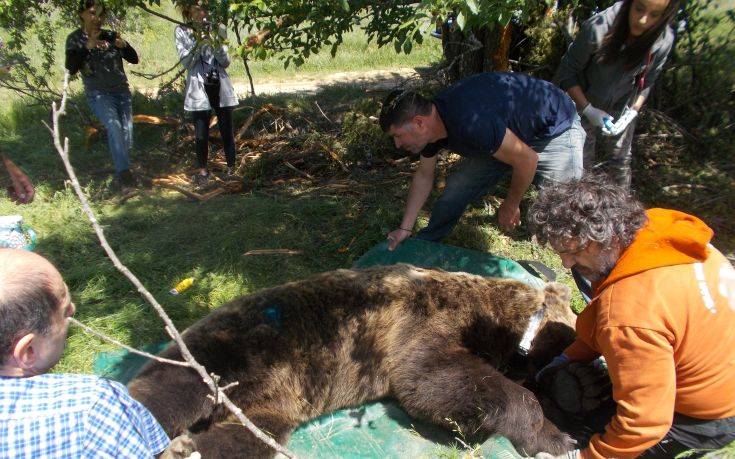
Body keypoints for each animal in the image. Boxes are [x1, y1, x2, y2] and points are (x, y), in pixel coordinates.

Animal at [131, 264, 580, 458]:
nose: (560, 387)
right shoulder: (421, 324)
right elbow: (433, 379)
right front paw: (555, 437)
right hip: (226, 350)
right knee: (165, 395)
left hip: (268, 403)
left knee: (245, 439)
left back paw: (185, 449)